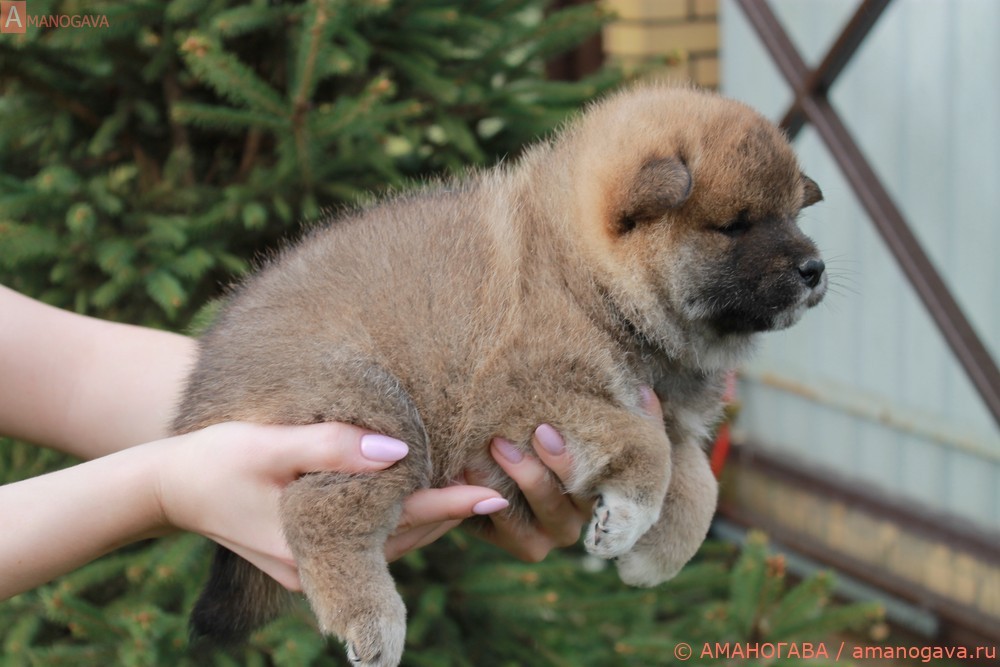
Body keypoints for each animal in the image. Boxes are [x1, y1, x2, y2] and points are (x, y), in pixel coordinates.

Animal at [174, 85, 827, 666]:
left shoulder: (668, 416)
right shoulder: (532, 397)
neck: (588, 283)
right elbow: (648, 452)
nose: (815, 267)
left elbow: (700, 487)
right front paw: (626, 525)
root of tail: (197, 400)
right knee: (314, 514)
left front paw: (652, 558)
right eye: (736, 225)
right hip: (376, 415)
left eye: (792, 215)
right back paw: (373, 621)